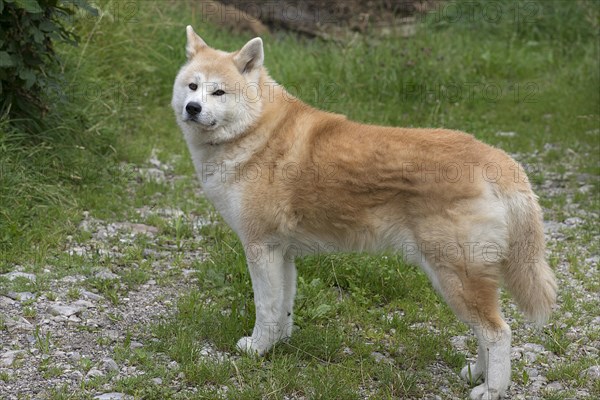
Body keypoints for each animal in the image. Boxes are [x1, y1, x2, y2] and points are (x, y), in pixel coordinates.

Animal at [171, 26, 556, 398]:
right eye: (192, 86)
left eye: (219, 92)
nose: (192, 108)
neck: (255, 133)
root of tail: (495, 158)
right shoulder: (282, 253)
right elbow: (283, 308)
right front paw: (277, 345)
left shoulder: (260, 248)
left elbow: (265, 308)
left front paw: (256, 349)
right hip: (460, 276)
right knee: (483, 330)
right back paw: (476, 373)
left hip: (455, 273)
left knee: (497, 332)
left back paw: (492, 388)